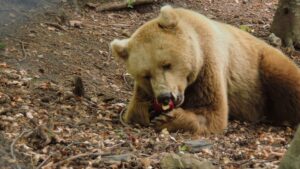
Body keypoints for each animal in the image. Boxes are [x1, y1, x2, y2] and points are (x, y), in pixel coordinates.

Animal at [110, 4, 300, 135]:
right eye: (146, 75)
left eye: (167, 64)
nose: (165, 97)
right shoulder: (143, 89)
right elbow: (134, 110)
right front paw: (148, 110)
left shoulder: (209, 64)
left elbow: (213, 111)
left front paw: (168, 118)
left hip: (262, 66)